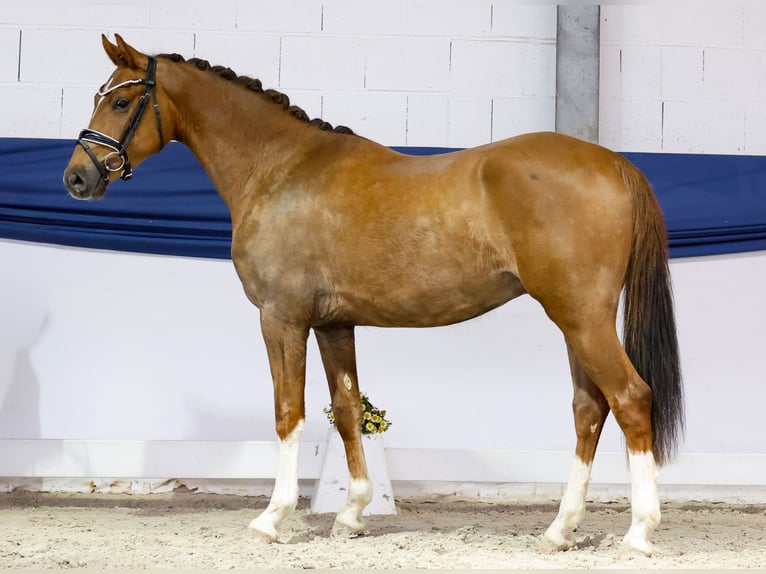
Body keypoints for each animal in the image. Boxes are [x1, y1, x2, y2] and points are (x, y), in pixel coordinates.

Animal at [63, 35, 684, 556]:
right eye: (98, 97)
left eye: (121, 102)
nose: (76, 178)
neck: (280, 169)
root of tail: (615, 163)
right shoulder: (334, 324)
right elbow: (345, 410)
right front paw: (352, 512)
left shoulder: (281, 318)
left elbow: (287, 412)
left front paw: (272, 518)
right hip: (576, 322)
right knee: (589, 409)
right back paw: (559, 530)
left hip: (582, 318)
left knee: (631, 399)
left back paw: (639, 532)